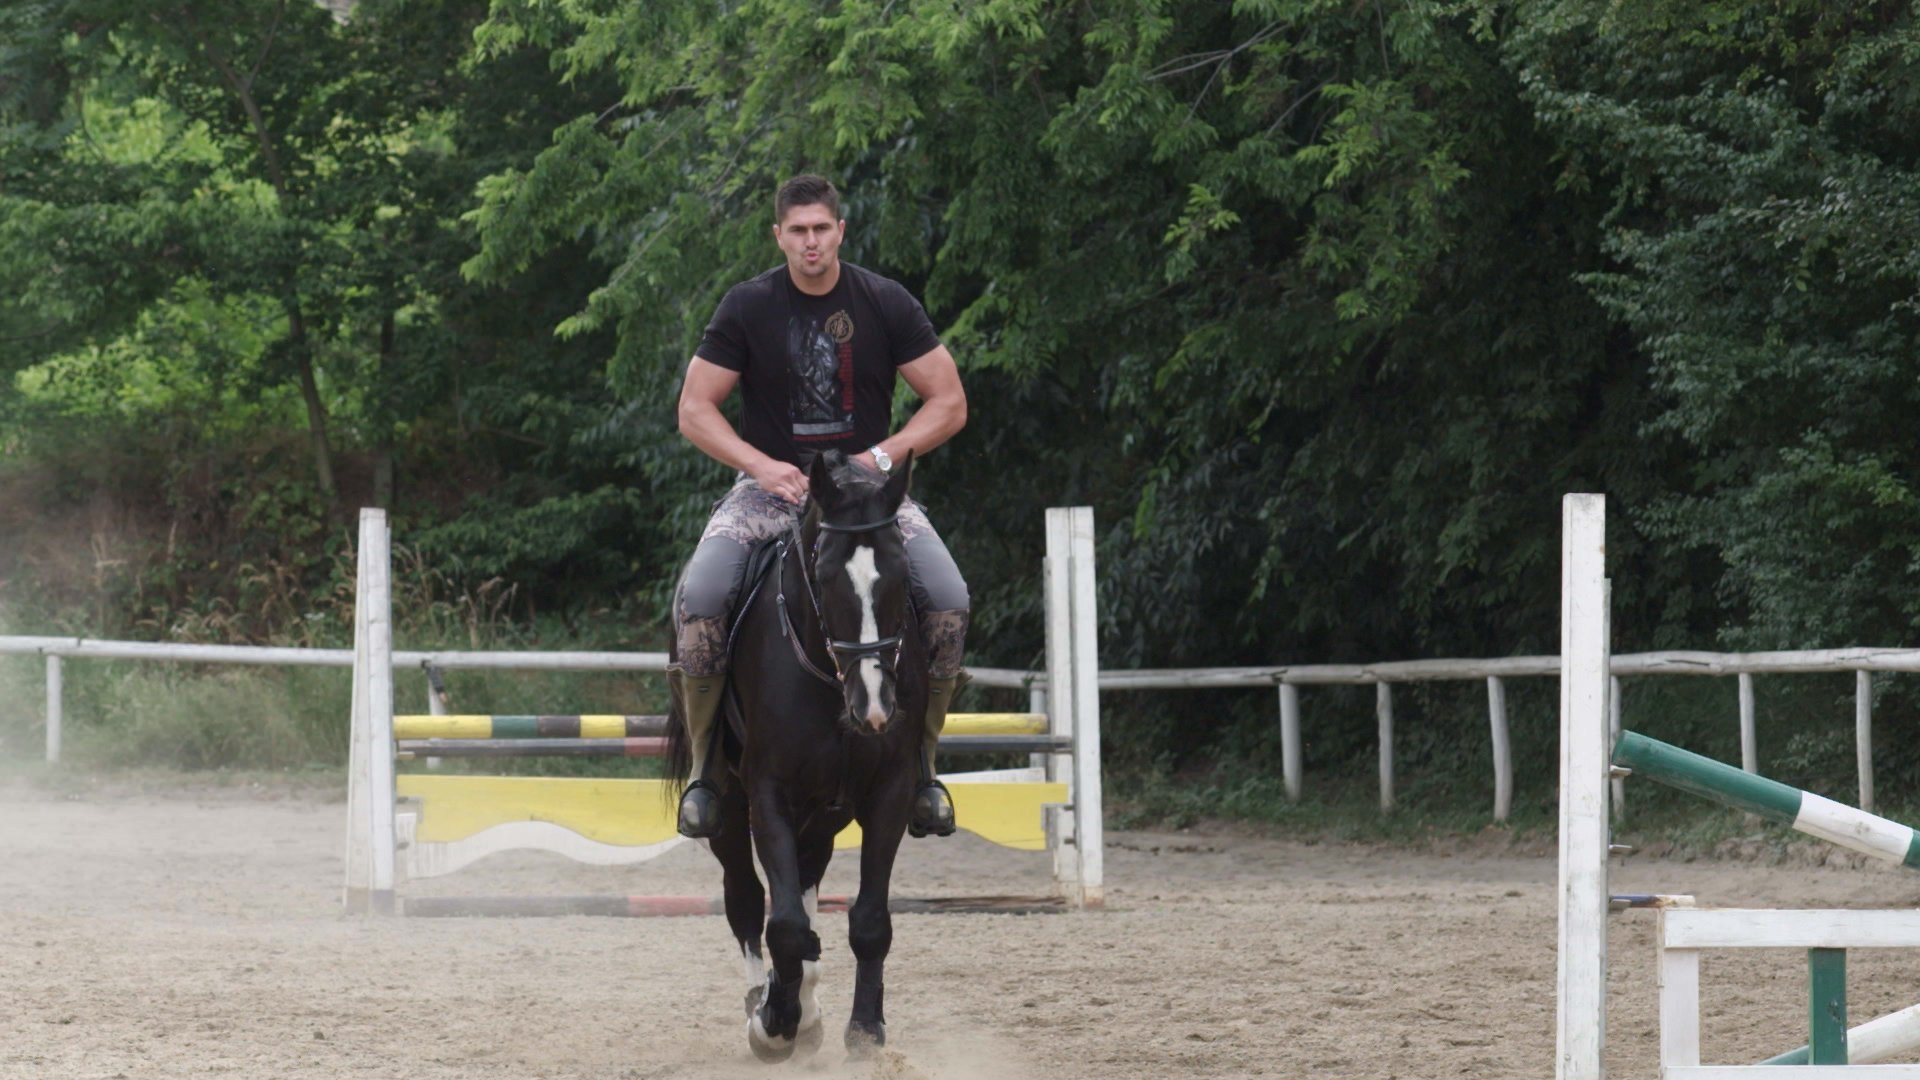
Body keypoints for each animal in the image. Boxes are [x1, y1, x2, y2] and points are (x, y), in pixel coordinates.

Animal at [664, 447, 925, 1060]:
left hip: (825, 813)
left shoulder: (891, 789)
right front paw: (773, 1021)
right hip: (731, 806)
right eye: (824, 576)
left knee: (805, 884)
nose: (874, 707)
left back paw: (807, 1005)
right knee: (745, 897)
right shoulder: (768, 793)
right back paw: (770, 1001)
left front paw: (865, 1028)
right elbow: (780, 922)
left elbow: (868, 919)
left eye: (901, 573)